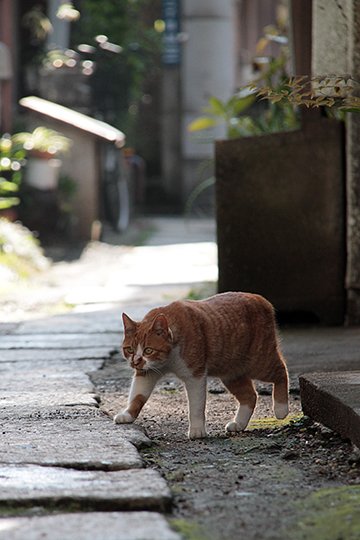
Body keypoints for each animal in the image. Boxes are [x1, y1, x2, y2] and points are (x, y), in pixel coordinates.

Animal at [115, 292, 290, 438]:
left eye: (148, 350)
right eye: (129, 349)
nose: (135, 361)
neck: (167, 360)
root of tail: (260, 298)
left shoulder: (195, 376)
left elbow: (196, 406)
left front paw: (197, 430)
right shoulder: (146, 374)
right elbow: (137, 396)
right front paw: (128, 414)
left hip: (258, 362)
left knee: (281, 371)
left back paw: (281, 409)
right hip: (231, 372)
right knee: (250, 396)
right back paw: (239, 424)